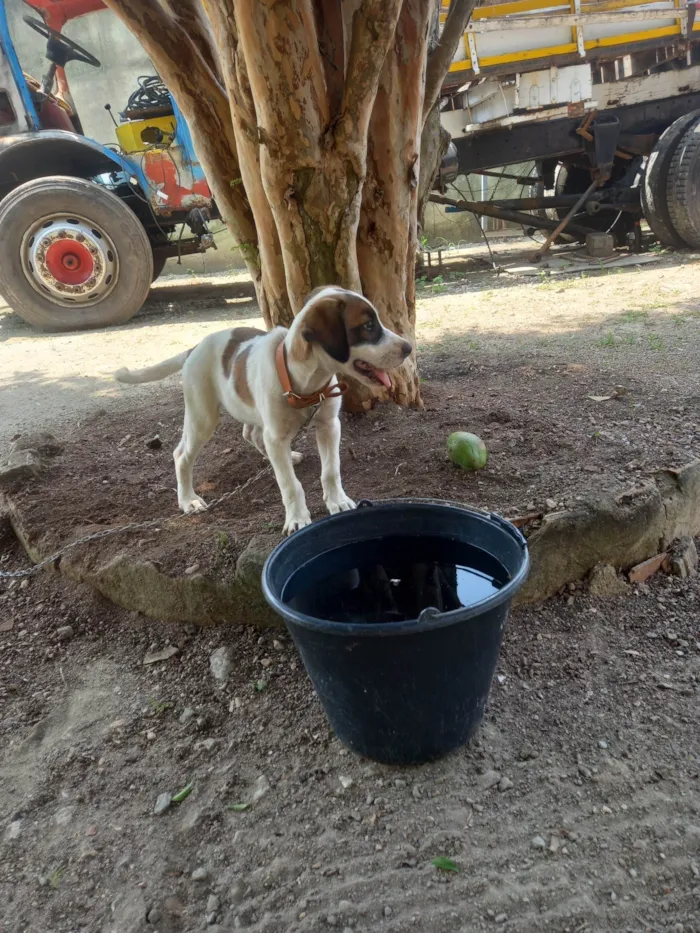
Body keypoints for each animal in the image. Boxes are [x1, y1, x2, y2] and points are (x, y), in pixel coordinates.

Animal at [114, 284, 410, 532]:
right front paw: (297, 517)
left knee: (252, 435)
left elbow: (330, 470)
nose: (408, 347)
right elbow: (290, 484)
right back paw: (188, 500)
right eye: (368, 326)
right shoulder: (277, 435)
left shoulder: (328, 426)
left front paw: (337, 501)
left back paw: (286, 456)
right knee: (182, 455)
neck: (304, 383)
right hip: (202, 418)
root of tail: (194, 348)